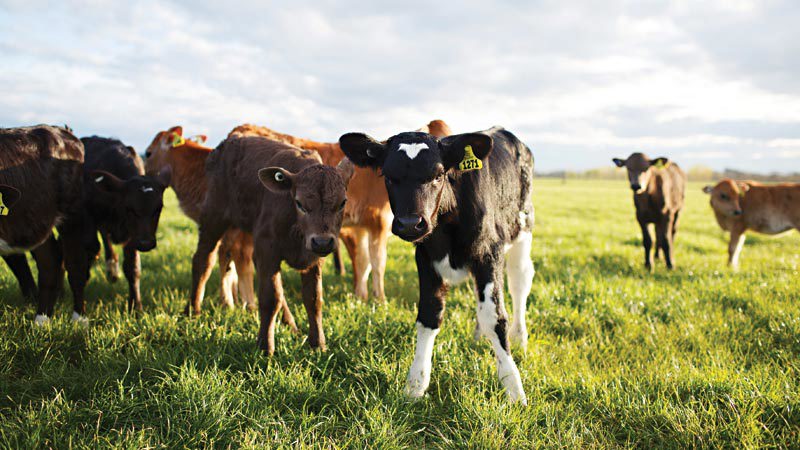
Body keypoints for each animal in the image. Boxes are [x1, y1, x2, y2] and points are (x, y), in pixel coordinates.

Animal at [0, 125, 88, 324]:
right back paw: (42, 320)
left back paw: (79, 319)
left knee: (75, 265)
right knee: (50, 260)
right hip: (35, 221)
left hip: (74, 214)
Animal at [187, 136, 353, 354]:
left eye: (342, 202)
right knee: (203, 260)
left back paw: (291, 325)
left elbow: (313, 298)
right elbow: (270, 298)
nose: (322, 241)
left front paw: (318, 345)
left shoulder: (314, 258)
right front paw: (265, 347)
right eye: (299, 203)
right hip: (213, 217)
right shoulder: (267, 249)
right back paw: (193, 310)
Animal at [339, 126, 534, 404]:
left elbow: (495, 316)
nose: (410, 223)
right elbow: (429, 314)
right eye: (388, 175)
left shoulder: (489, 253)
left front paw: (513, 387)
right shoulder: (425, 258)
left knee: (519, 282)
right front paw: (415, 384)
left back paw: (519, 337)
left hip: (523, 228)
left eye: (439, 174)